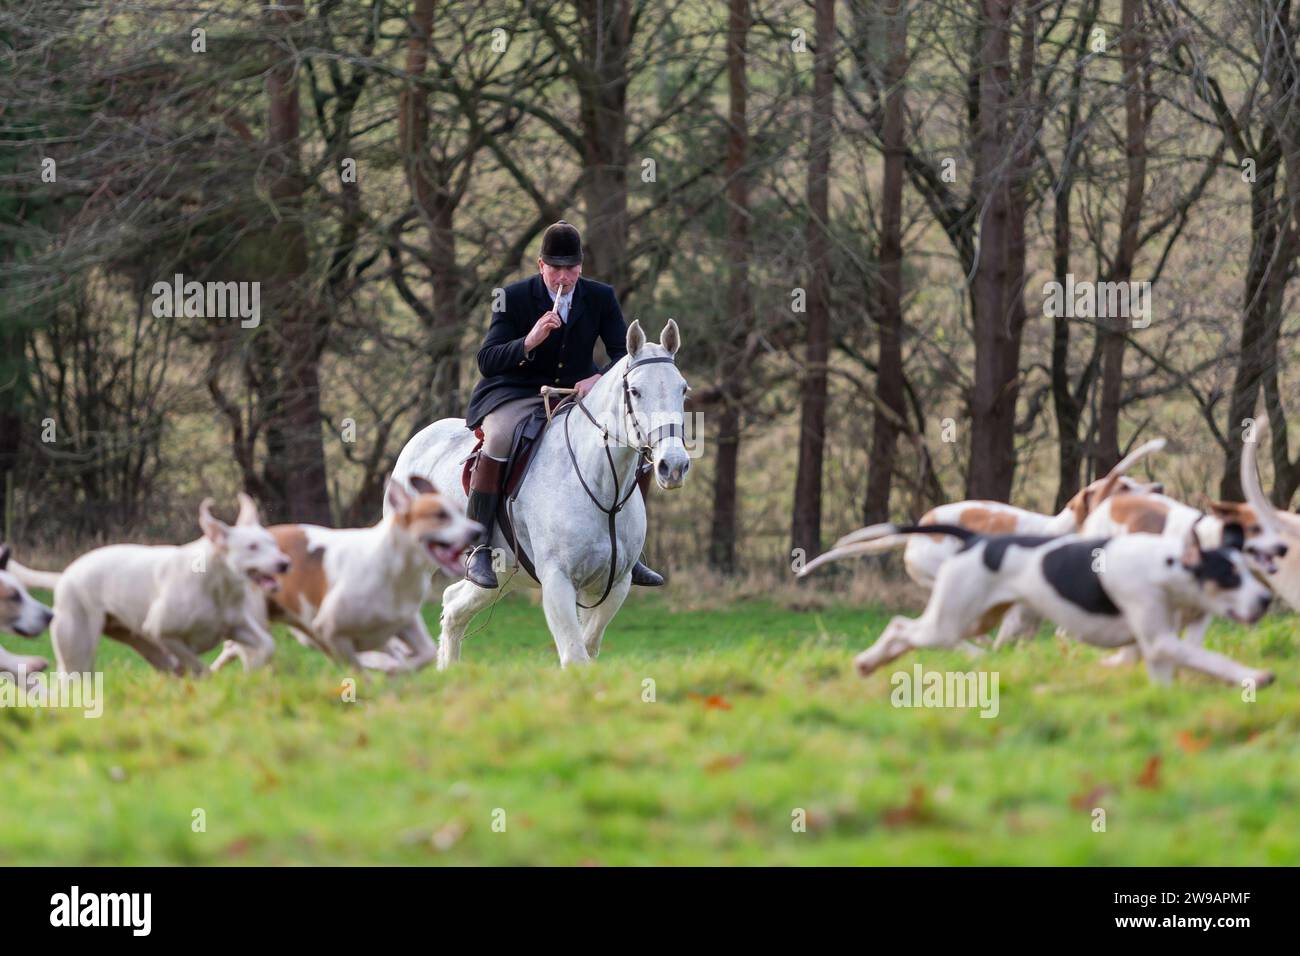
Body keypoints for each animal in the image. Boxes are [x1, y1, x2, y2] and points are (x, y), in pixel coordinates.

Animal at [42, 496, 289, 676]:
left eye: (273, 543)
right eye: (252, 546)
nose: (285, 563)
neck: (218, 585)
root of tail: (65, 575)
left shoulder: (236, 626)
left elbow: (267, 644)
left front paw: (254, 672)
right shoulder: (161, 632)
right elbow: (195, 663)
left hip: (139, 642)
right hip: (78, 650)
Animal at [384, 317, 691, 671]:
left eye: (683, 389)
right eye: (635, 391)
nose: (674, 466)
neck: (602, 489)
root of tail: (420, 439)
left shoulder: (613, 584)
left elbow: (587, 647)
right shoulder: (558, 580)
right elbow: (575, 655)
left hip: (501, 575)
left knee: (454, 607)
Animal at [842, 522, 1268, 686]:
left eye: (1248, 570)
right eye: (1229, 576)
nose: (1265, 599)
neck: (1165, 566)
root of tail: (976, 538)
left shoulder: (1155, 649)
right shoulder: (1161, 642)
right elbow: (1212, 659)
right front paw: (1255, 676)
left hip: (973, 621)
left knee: (904, 630)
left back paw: (870, 664)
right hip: (948, 624)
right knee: (900, 625)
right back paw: (867, 662)